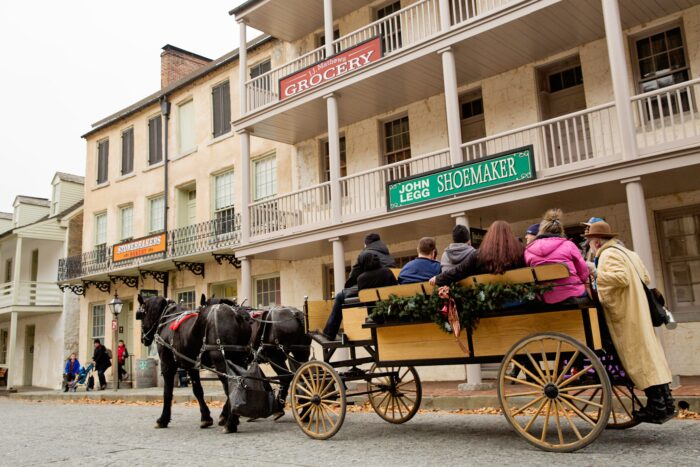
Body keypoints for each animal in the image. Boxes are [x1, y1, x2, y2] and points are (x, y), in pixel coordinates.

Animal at [137, 294, 252, 434]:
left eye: (141, 314)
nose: (143, 339)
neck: (167, 319)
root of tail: (236, 315)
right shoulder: (191, 365)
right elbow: (198, 390)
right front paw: (206, 418)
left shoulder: (167, 364)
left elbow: (167, 392)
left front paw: (163, 419)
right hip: (240, 360)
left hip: (221, 361)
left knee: (232, 386)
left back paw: (230, 422)